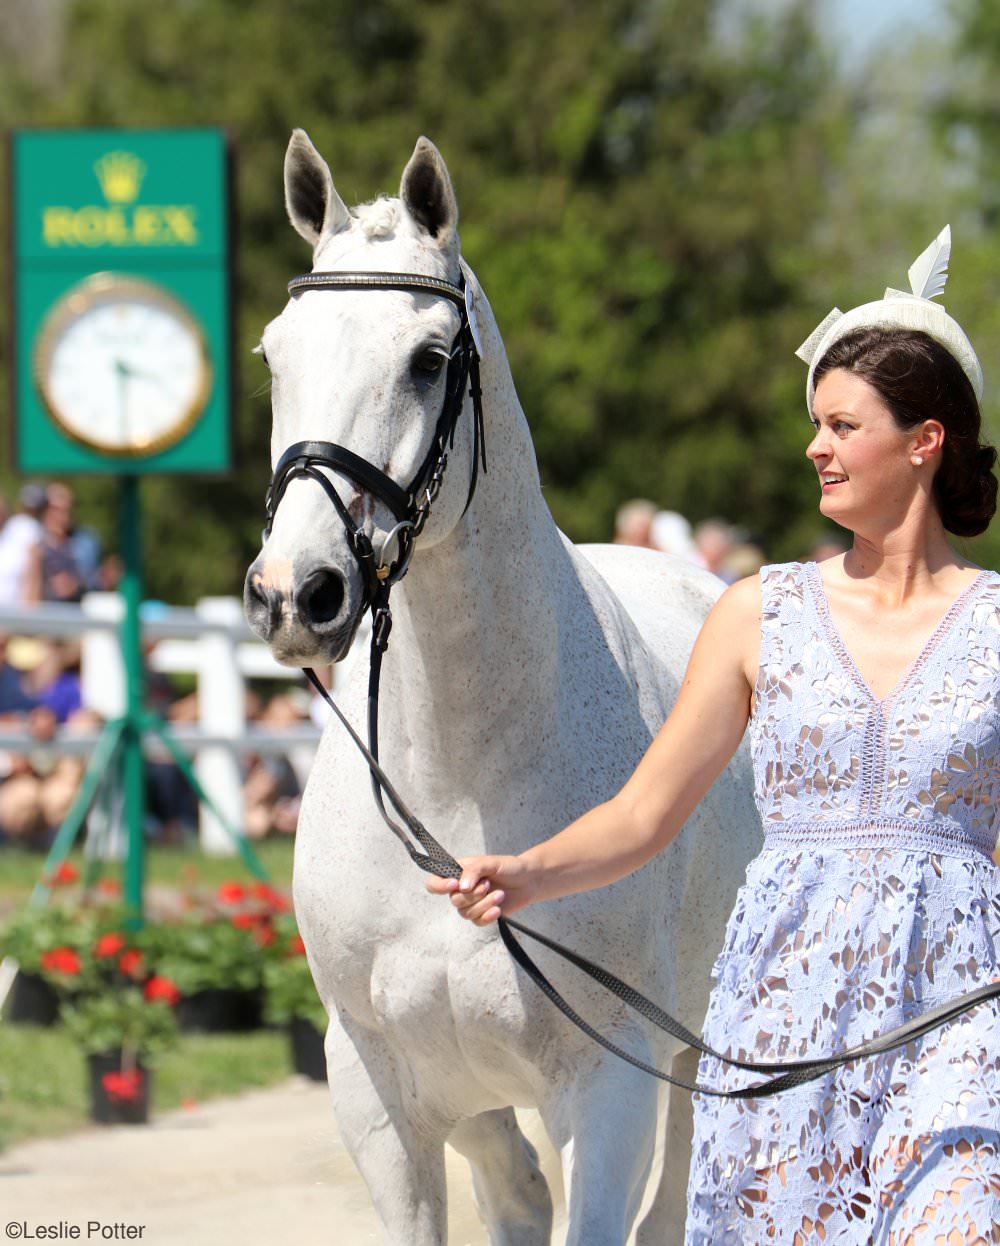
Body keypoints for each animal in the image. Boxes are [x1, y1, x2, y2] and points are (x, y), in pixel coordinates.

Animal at [244, 131, 757, 1241]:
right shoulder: (382, 1095)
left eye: (428, 360)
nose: (295, 593)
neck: (457, 783)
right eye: (274, 354)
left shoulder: (609, 1092)